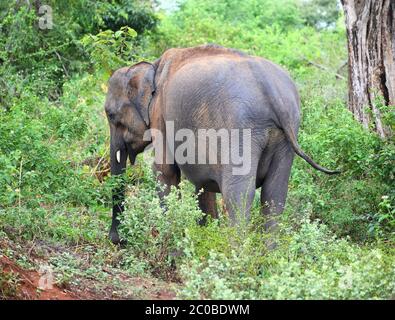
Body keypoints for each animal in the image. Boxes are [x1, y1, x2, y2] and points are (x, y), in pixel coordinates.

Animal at [105, 44, 340, 245]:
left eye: (111, 115)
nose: (118, 240)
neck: (151, 67)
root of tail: (270, 89)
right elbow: (202, 184)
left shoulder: (161, 116)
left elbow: (164, 171)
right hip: (285, 135)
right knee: (275, 194)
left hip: (240, 129)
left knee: (239, 194)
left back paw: (236, 257)